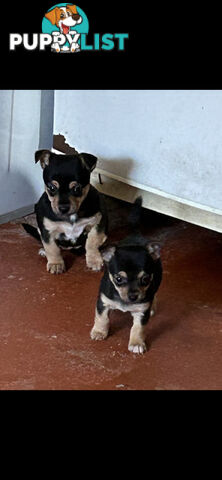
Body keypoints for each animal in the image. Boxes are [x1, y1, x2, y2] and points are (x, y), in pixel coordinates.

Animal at [90, 197, 163, 354]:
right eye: (118, 279)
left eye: (145, 279)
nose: (133, 296)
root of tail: (136, 234)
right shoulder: (103, 302)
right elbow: (101, 318)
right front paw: (99, 332)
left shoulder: (141, 312)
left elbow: (138, 328)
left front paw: (136, 343)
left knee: (154, 294)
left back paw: (152, 307)